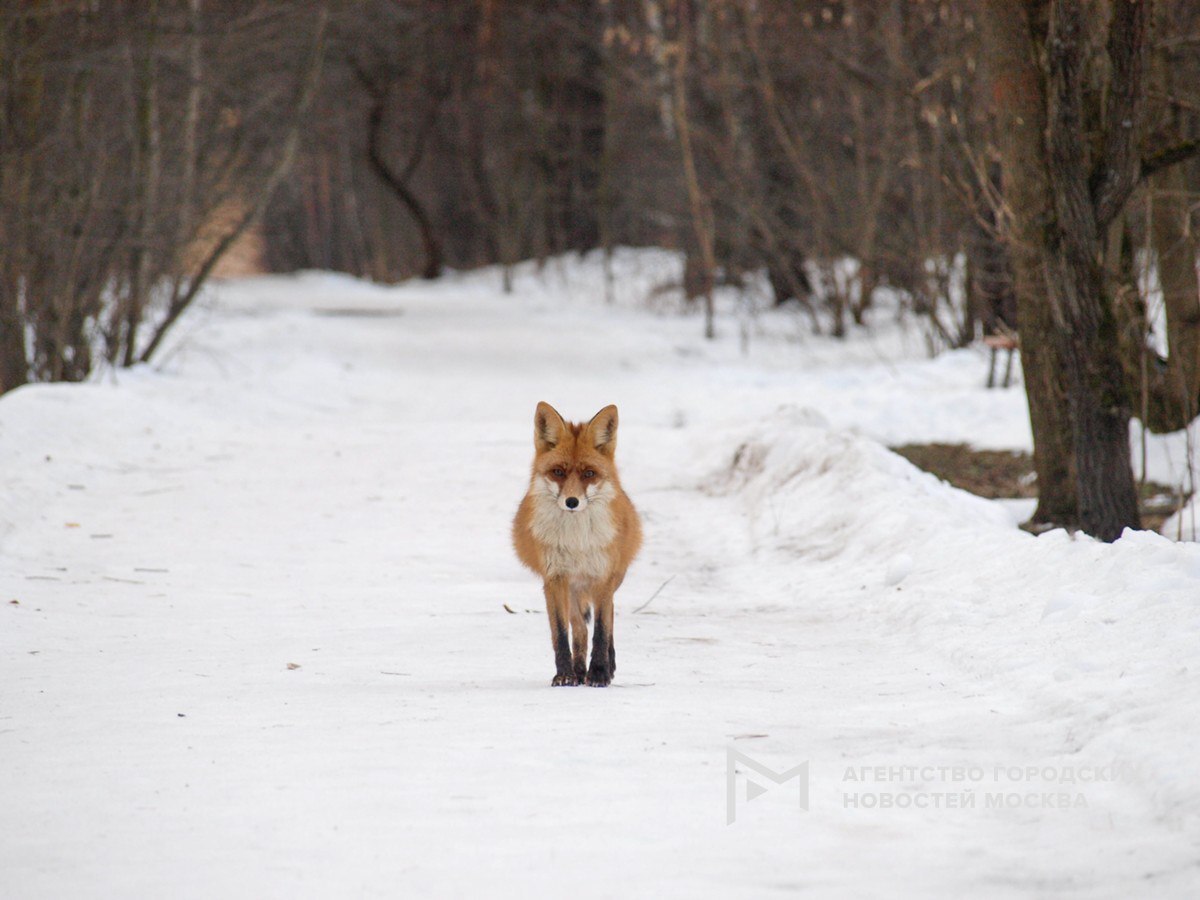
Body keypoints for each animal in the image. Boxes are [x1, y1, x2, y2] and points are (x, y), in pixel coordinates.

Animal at [516, 403, 648, 691]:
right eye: (558, 472)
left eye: (589, 473)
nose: (572, 502)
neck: (576, 542)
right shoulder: (554, 579)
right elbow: (561, 633)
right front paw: (565, 674)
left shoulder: (603, 577)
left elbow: (601, 630)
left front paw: (599, 673)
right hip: (573, 589)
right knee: (579, 628)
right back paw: (578, 671)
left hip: (610, 580)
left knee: (607, 619)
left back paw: (606, 665)